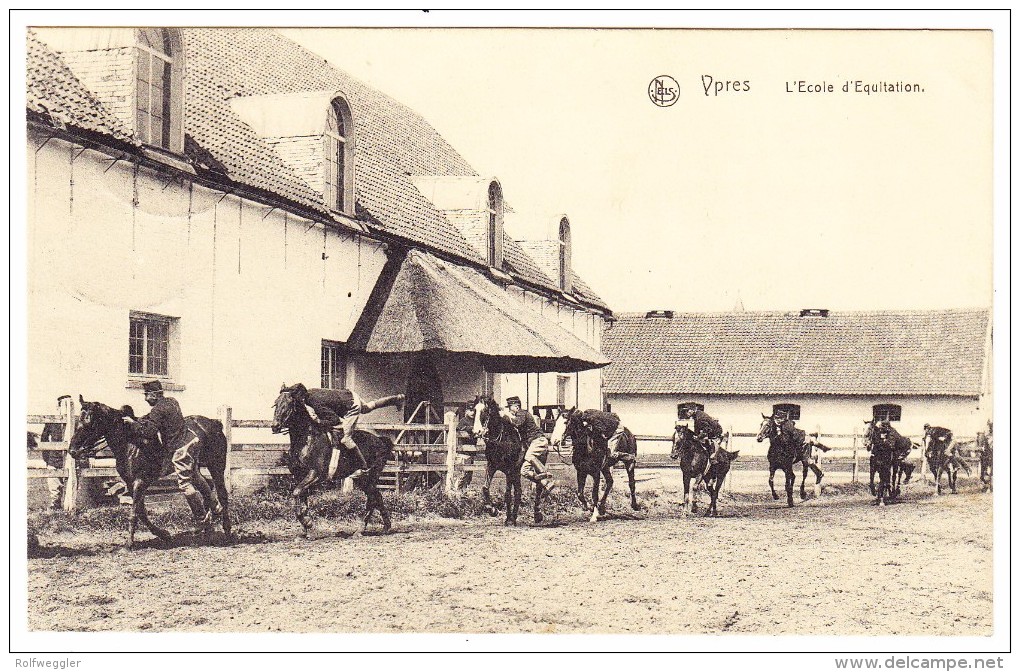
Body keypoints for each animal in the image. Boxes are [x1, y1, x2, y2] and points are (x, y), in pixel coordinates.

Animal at [68, 397, 232, 550]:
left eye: (90, 423)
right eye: (79, 421)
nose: (72, 451)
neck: (131, 443)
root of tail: (215, 423)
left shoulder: (140, 482)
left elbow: (135, 512)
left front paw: (129, 543)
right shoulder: (130, 483)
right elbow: (141, 512)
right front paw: (164, 534)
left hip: (216, 466)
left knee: (222, 493)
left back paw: (226, 530)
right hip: (193, 468)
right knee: (206, 487)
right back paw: (207, 524)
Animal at [269, 385, 395, 538]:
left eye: (289, 404)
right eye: (276, 403)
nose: (275, 426)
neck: (306, 439)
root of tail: (382, 440)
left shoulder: (315, 474)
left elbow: (297, 492)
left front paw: (308, 523)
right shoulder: (299, 476)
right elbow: (302, 499)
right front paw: (307, 530)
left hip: (371, 476)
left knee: (372, 499)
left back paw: (361, 530)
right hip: (364, 481)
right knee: (377, 497)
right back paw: (385, 527)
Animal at [469, 393, 526, 526]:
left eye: (485, 411)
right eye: (474, 410)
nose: (476, 432)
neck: (502, 439)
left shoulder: (510, 470)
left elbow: (507, 494)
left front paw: (508, 519)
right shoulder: (491, 466)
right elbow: (485, 488)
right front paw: (492, 509)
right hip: (516, 473)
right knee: (518, 491)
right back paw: (514, 517)